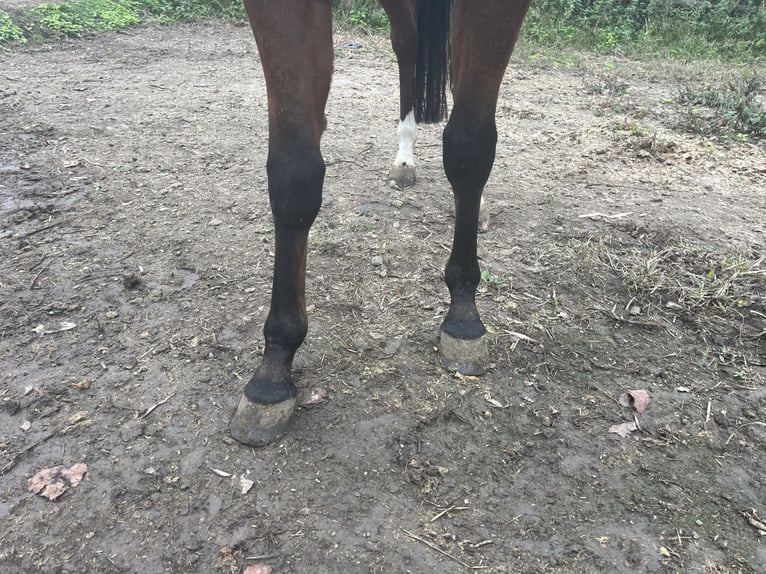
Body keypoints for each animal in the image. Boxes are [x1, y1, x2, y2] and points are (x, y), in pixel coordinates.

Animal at [231, 0, 532, 446]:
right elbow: (294, 176)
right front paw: (273, 373)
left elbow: (469, 146)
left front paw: (463, 315)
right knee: (408, 43)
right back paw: (402, 157)